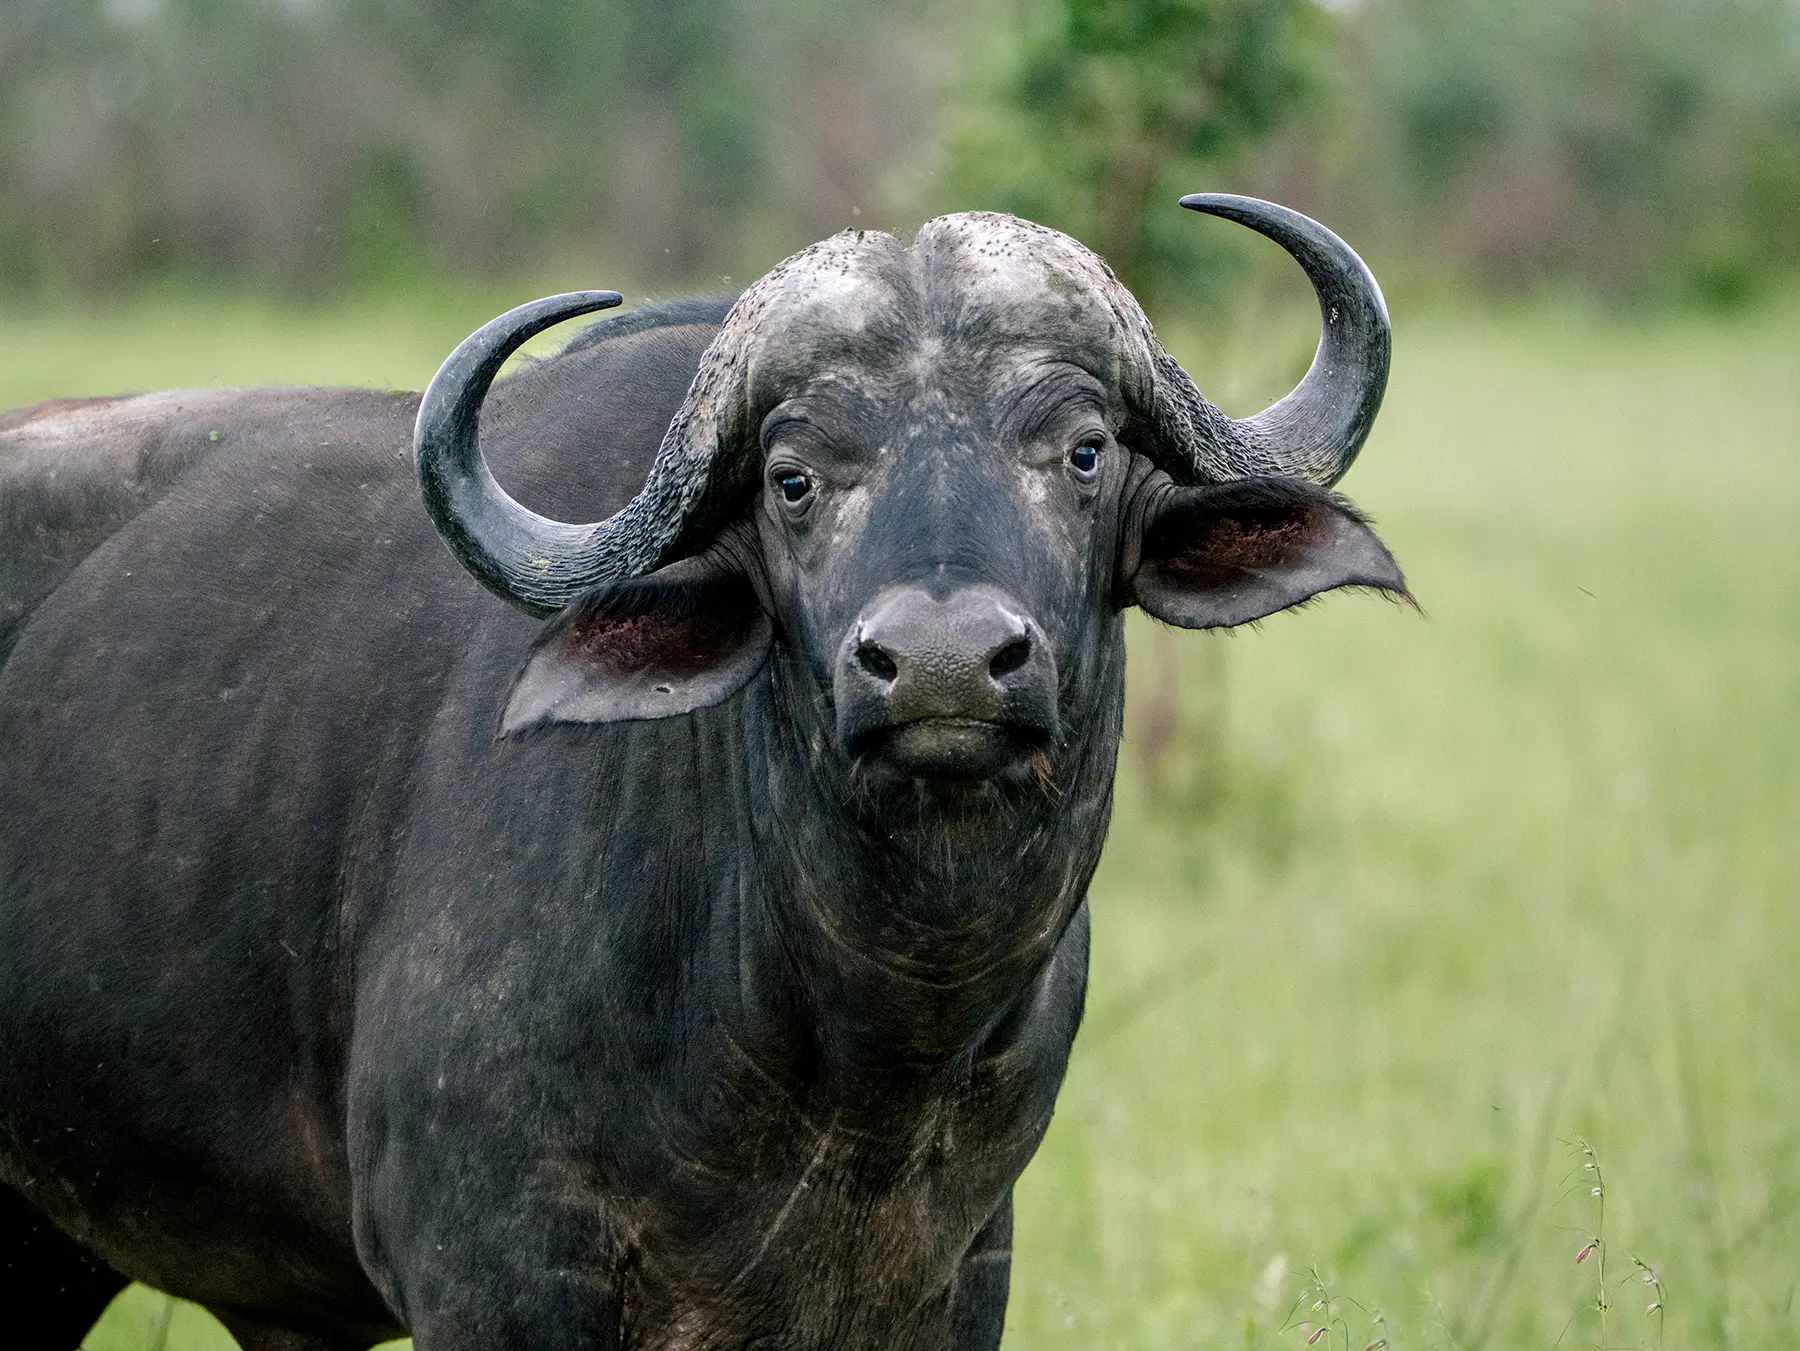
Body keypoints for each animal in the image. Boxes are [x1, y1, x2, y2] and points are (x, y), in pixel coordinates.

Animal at [0, 196, 1405, 1351]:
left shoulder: (960, 1274)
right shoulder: (493, 1274)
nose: (944, 664)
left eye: (1084, 452)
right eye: (791, 480)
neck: (850, 1051)